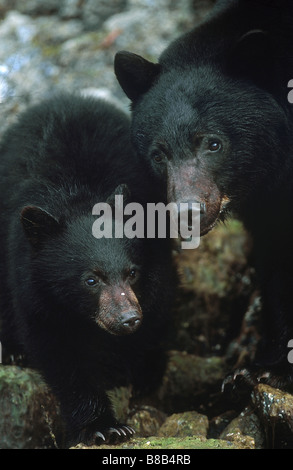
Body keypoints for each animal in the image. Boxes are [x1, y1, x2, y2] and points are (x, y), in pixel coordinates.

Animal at [0, 93, 175, 446]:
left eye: (131, 273)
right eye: (91, 280)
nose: (128, 319)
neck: (74, 191)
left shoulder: (155, 259)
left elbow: (157, 308)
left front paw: (139, 373)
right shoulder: (33, 284)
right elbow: (59, 354)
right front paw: (105, 425)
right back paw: (11, 352)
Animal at [114, 0, 293, 392]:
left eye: (213, 143)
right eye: (158, 154)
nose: (187, 212)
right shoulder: (267, 203)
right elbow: (276, 266)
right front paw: (261, 368)